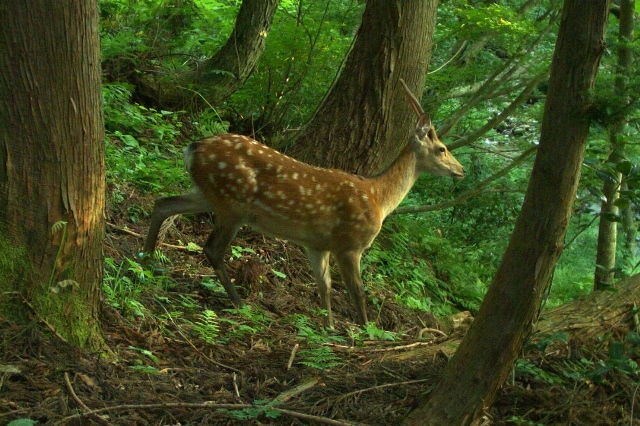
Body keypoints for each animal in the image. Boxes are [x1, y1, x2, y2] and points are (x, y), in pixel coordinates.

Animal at [144, 80, 464, 326]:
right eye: (442, 149)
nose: (461, 170)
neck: (378, 197)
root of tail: (192, 148)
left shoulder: (317, 244)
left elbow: (324, 287)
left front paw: (329, 328)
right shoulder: (349, 243)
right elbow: (357, 292)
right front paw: (365, 331)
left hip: (208, 193)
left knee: (163, 203)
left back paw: (146, 261)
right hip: (233, 203)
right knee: (212, 248)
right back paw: (239, 302)